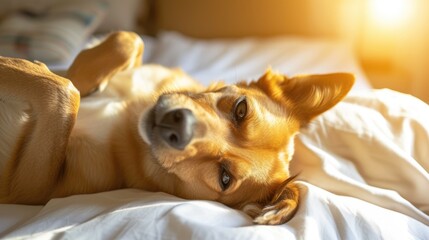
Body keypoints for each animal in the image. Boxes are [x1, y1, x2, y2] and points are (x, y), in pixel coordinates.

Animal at [0, 31, 352, 225]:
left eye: (225, 178)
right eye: (241, 110)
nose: (177, 124)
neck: (130, 114)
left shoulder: (30, 189)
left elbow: (63, 92)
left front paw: (19, 66)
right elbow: (129, 40)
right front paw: (78, 74)